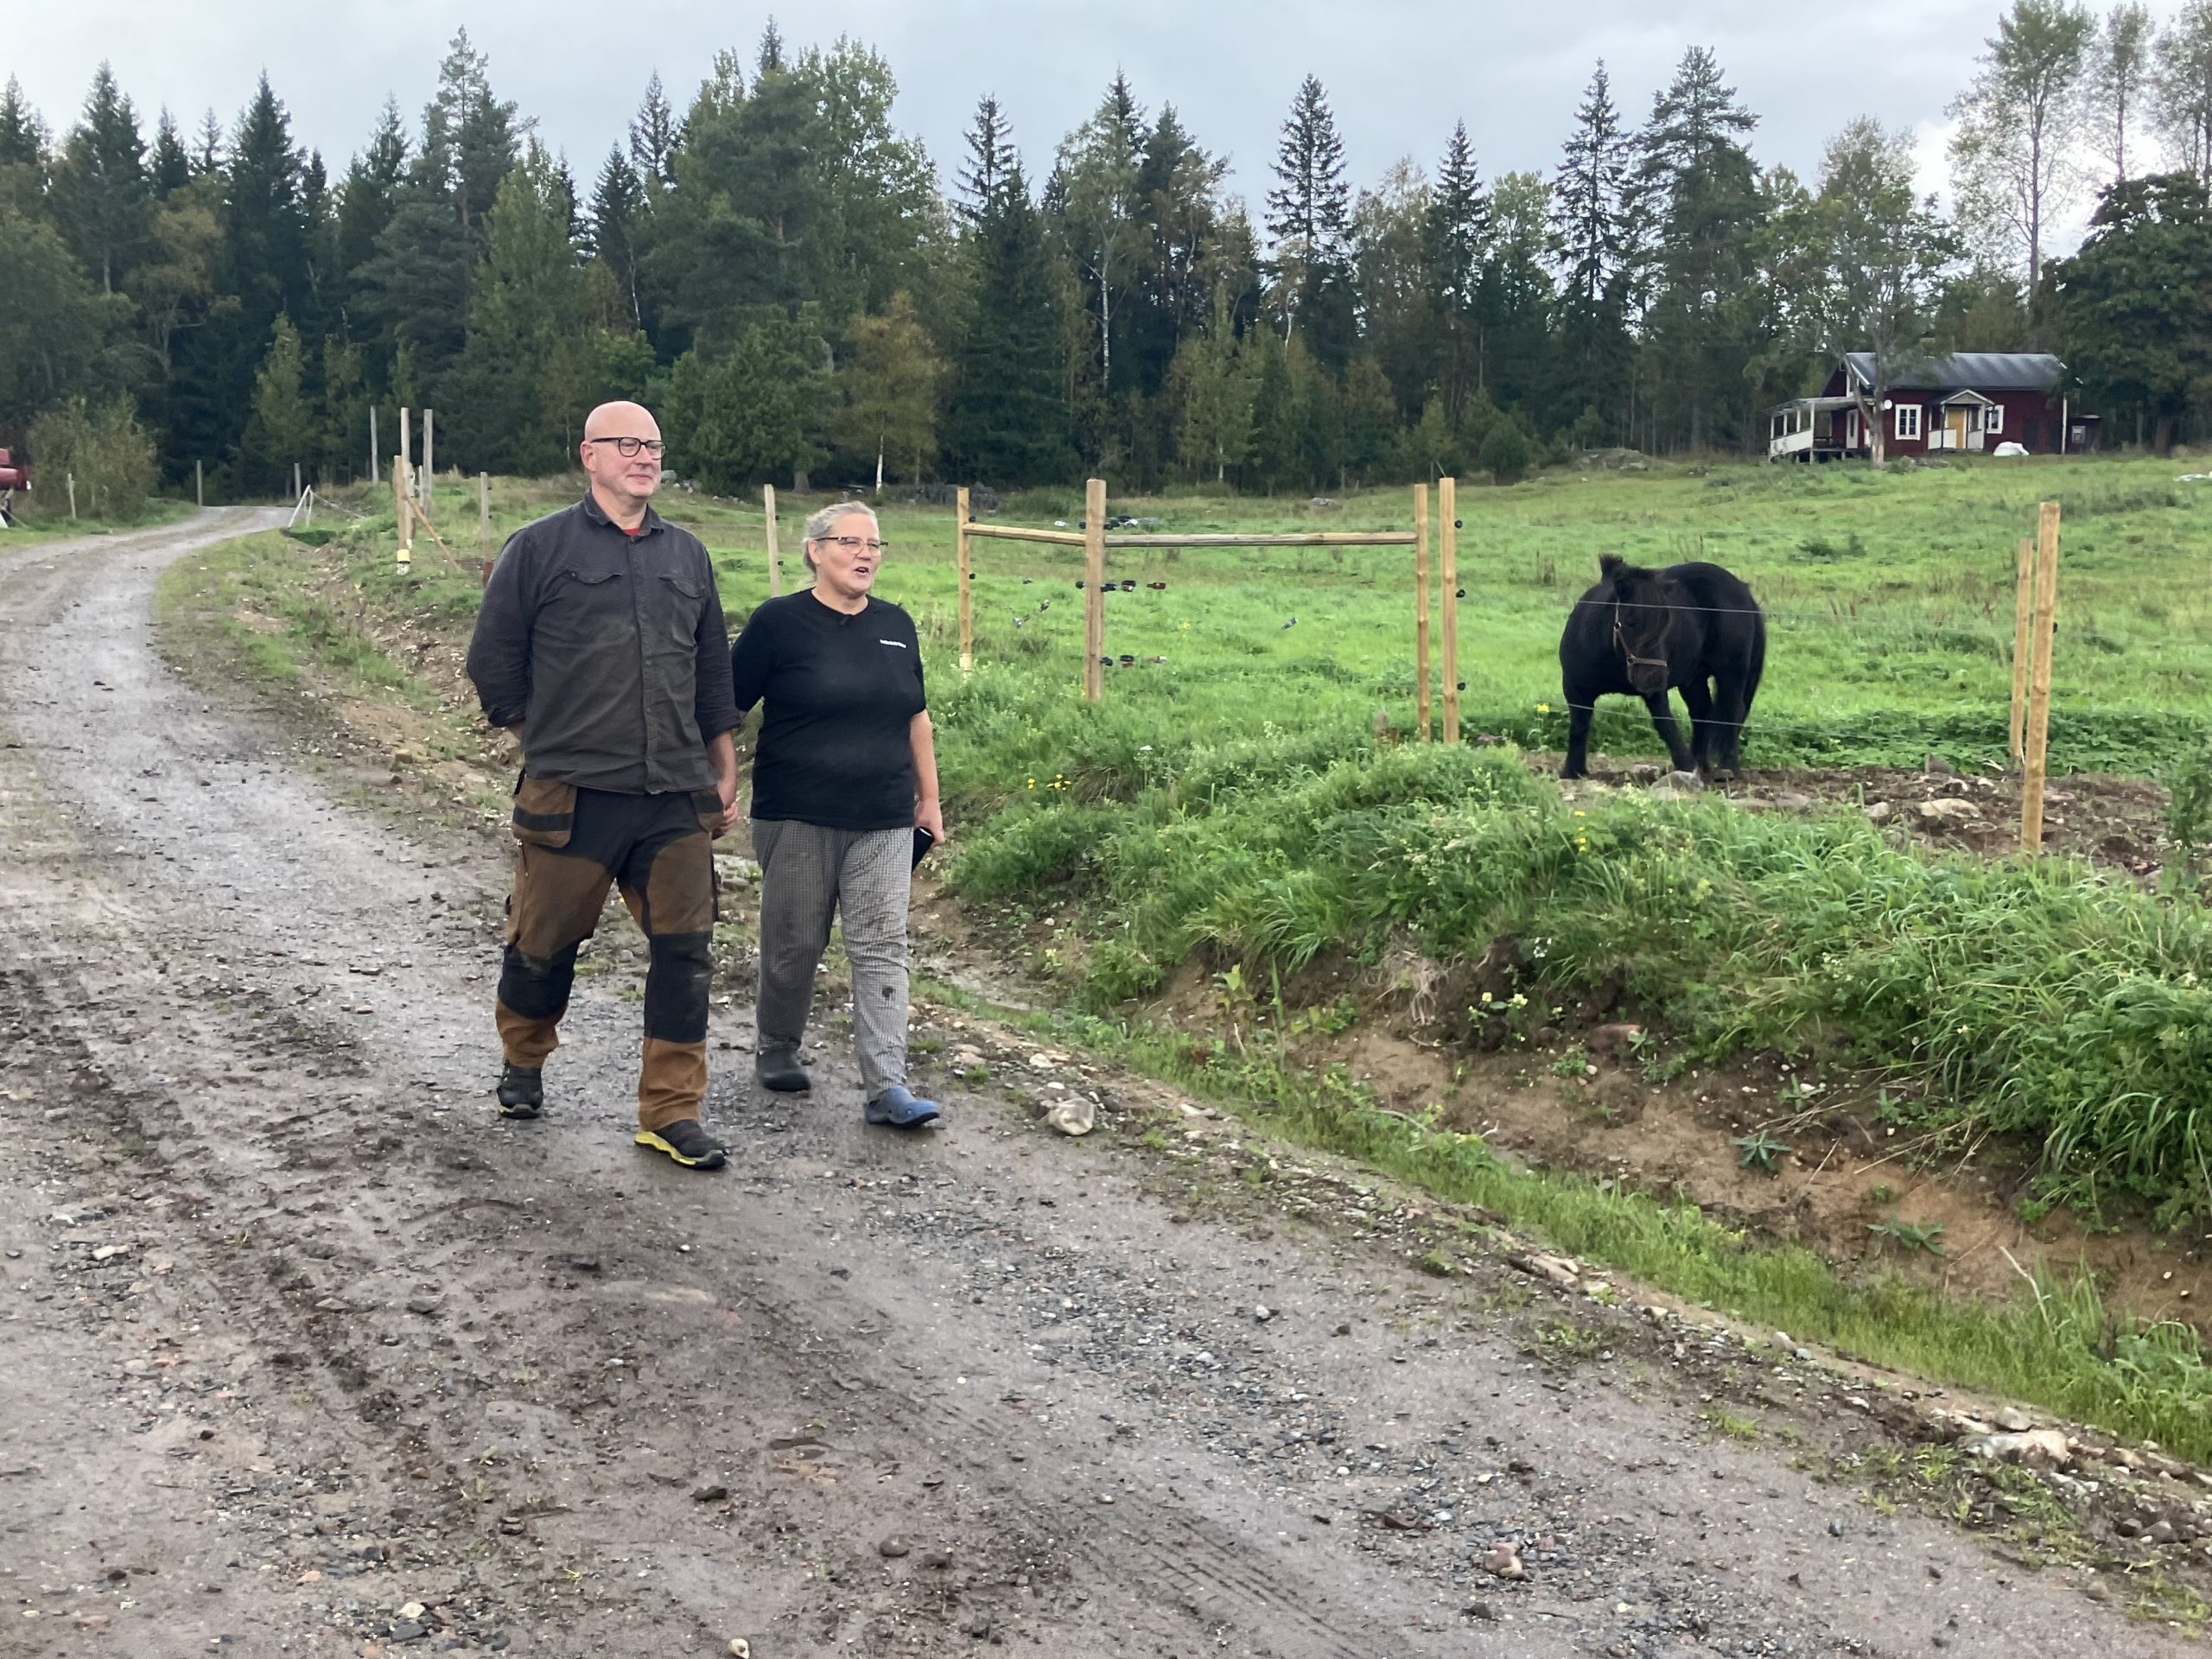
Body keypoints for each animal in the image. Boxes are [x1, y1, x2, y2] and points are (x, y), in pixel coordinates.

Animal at [1558, 555, 1766, 781]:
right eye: (1631, 622)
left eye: (1667, 626)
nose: (1655, 678)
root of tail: (1743, 590)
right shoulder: (1575, 688)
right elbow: (1579, 726)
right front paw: (1573, 771)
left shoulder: (1655, 693)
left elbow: (1664, 723)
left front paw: (1685, 765)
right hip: (1693, 678)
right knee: (1702, 711)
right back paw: (1702, 764)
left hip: (1731, 672)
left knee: (1733, 712)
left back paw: (1728, 768)